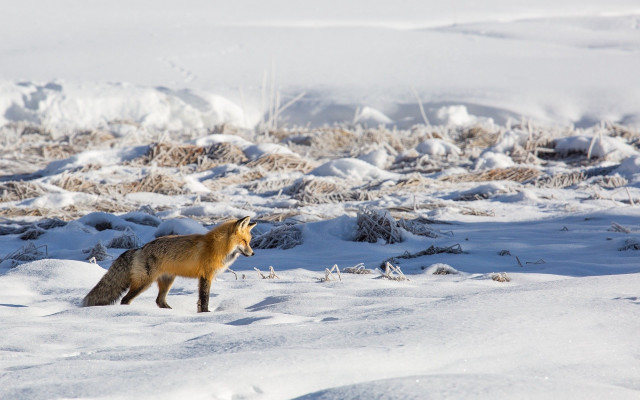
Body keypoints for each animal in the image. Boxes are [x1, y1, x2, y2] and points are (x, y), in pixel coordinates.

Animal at [82, 216, 256, 312]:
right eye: (244, 241)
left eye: (249, 242)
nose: (253, 254)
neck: (216, 247)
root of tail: (140, 248)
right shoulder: (206, 276)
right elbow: (204, 299)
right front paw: (207, 314)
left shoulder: (203, 277)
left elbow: (200, 301)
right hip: (144, 283)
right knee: (125, 299)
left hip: (167, 281)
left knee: (159, 301)